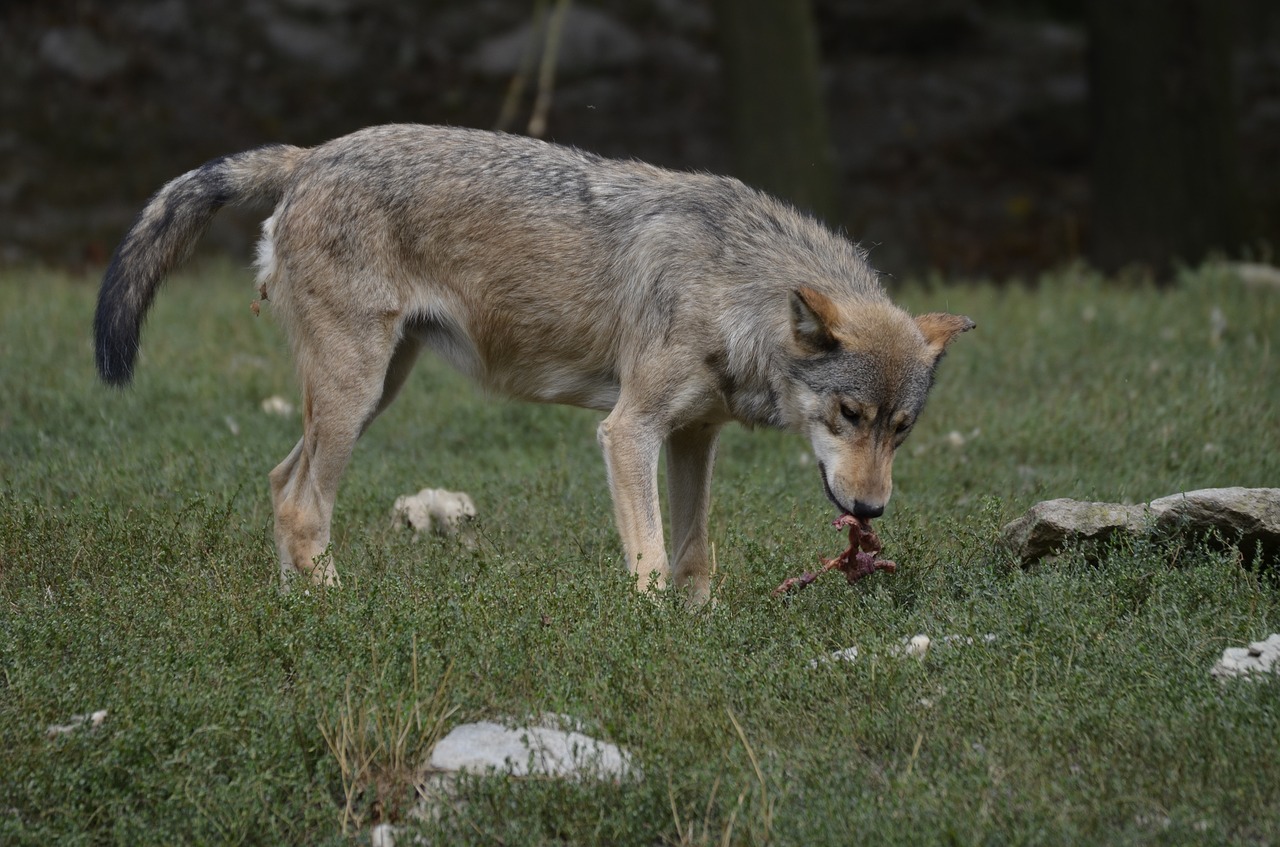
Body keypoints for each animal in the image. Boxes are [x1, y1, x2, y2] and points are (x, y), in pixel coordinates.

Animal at [94, 124, 967, 603]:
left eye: (900, 430)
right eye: (849, 415)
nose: (871, 510)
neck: (734, 289)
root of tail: (312, 155)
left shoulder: (694, 438)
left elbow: (695, 557)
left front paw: (701, 634)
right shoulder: (628, 432)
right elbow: (652, 560)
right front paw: (654, 641)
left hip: (374, 392)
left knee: (281, 486)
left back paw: (296, 610)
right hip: (356, 392)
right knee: (305, 507)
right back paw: (339, 615)